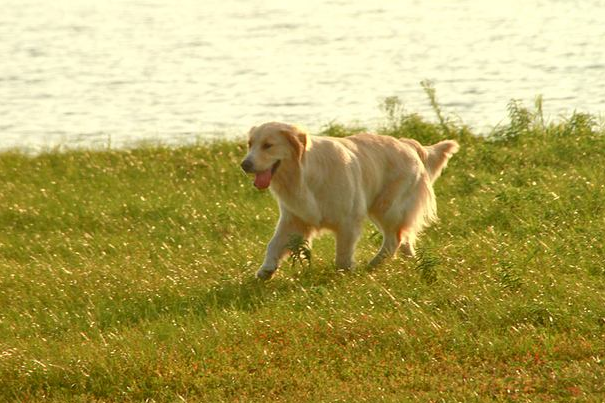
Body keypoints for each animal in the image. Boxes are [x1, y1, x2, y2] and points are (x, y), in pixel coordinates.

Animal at [241, 123, 458, 280]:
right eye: (250, 144)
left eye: (268, 145)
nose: (244, 164)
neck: (304, 175)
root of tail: (409, 144)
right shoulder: (294, 218)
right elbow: (274, 244)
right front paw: (266, 269)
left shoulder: (348, 220)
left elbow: (343, 255)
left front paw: (344, 276)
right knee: (404, 237)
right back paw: (411, 263)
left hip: (387, 207)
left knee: (394, 239)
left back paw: (372, 265)